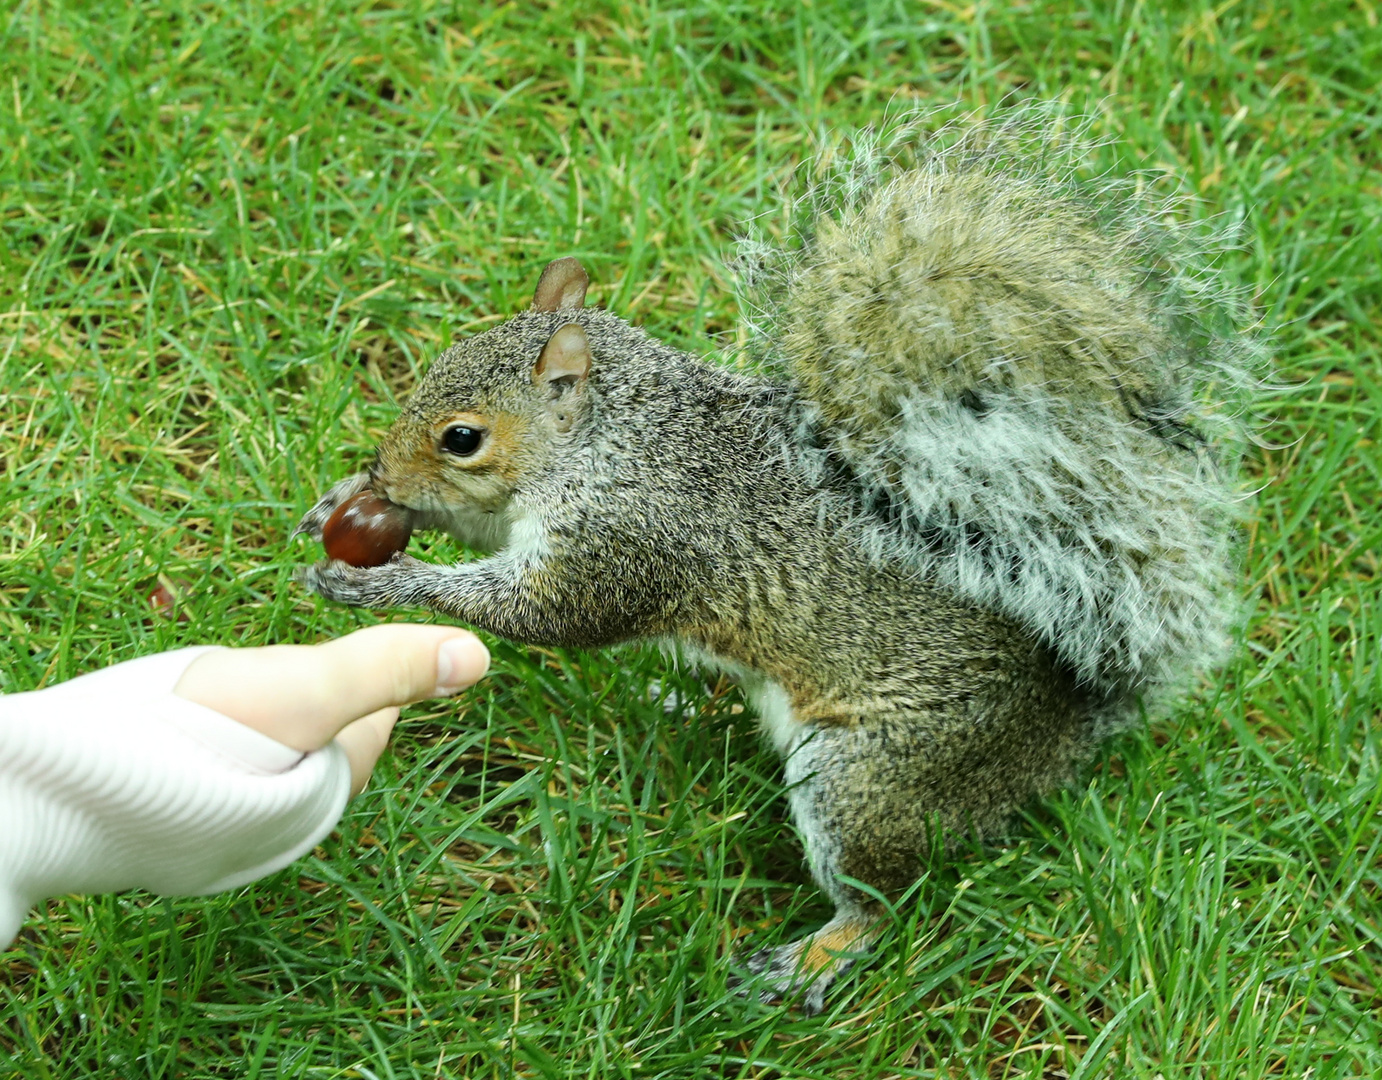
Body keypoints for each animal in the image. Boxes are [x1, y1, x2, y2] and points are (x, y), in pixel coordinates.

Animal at [294, 114, 1265, 1017]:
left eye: (462, 437)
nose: (384, 476)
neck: (614, 437)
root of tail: (1064, 729)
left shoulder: (631, 540)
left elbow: (549, 616)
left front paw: (384, 579)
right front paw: (342, 505)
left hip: (870, 774)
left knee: (886, 900)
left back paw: (814, 957)